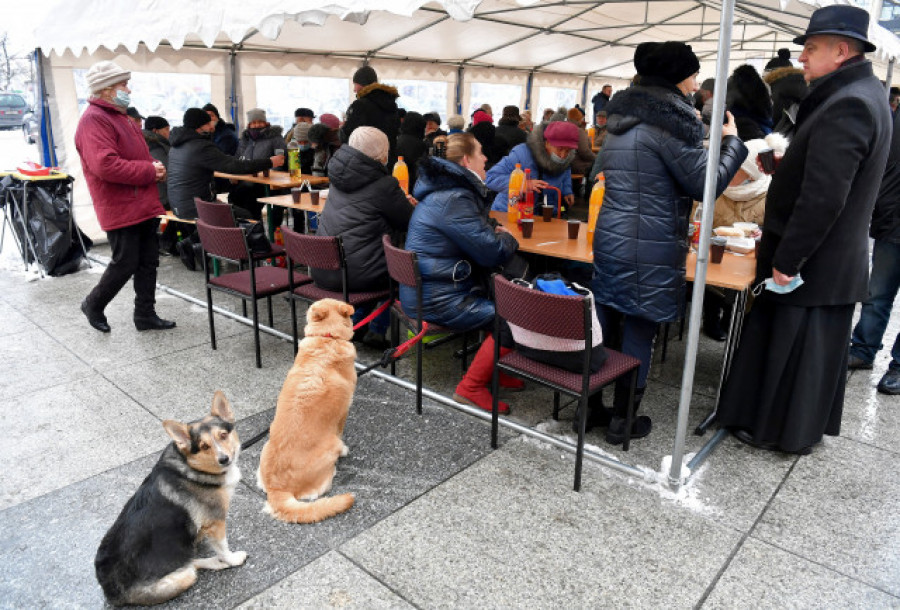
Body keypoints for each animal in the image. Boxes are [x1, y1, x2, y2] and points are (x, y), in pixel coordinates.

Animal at [94, 390, 246, 604]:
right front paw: (231, 559)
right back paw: (217, 562)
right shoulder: (216, 521)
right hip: (184, 577)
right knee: (191, 566)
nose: (224, 459)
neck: (191, 467)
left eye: (223, 435)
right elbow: (223, 547)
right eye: (204, 446)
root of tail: (111, 592)